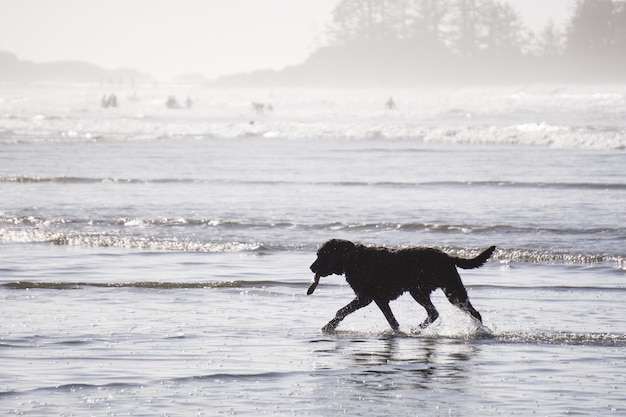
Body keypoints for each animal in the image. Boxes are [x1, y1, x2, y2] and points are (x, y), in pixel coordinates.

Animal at [306, 240, 492, 332]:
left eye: (322, 254)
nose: (311, 267)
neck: (352, 258)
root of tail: (447, 256)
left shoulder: (365, 298)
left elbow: (341, 311)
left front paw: (329, 326)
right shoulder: (379, 299)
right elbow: (392, 320)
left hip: (446, 290)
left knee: (471, 312)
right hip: (424, 290)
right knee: (434, 312)